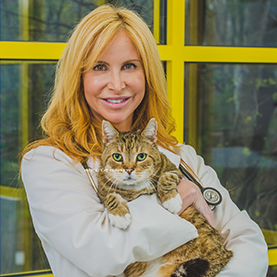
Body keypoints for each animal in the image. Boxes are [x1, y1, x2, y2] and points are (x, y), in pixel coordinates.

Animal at [96, 118, 232, 276]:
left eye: (141, 156)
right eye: (117, 157)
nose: (129, 169)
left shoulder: (174, 170)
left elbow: (165, 177)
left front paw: (171, 200)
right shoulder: (103, 190)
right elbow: (110, 196)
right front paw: (120, 215)